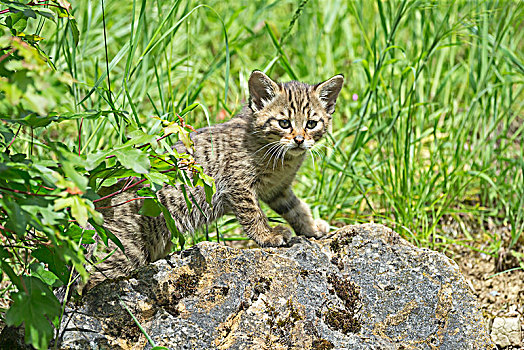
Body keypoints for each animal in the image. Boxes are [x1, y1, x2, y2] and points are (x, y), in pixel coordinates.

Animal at [88, 70, 346, 288]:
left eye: (311, 124)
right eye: (284, 123)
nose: (300, 140)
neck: (282, 158)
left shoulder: (278, 189)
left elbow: (297, 208)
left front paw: (312, 228)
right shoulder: (238, 184)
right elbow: (254, 214)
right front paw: (268, 236)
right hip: (126, 249)